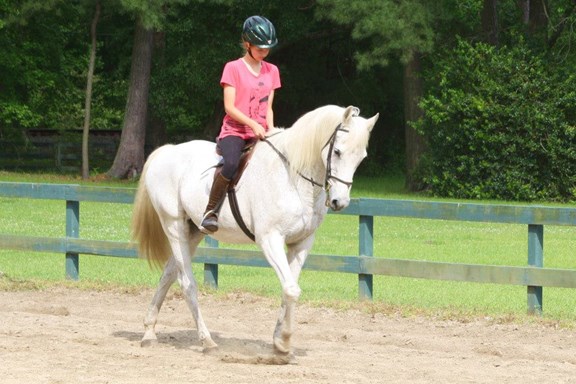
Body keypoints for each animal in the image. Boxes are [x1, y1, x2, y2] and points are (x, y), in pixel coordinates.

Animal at [133, 104, 380, 356]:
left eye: (361, 158)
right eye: (337, 151)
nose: (340, 202)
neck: (293, 176)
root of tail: (167, 152)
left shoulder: (302, 243)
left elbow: (288, 288)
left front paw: (279, 340)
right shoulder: (270, 239)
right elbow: (291, 289)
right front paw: (284, 341)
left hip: (194, 231)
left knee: (168, 274)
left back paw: (149, 332)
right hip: (174, 226)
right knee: (187, 283)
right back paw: (206, 340)